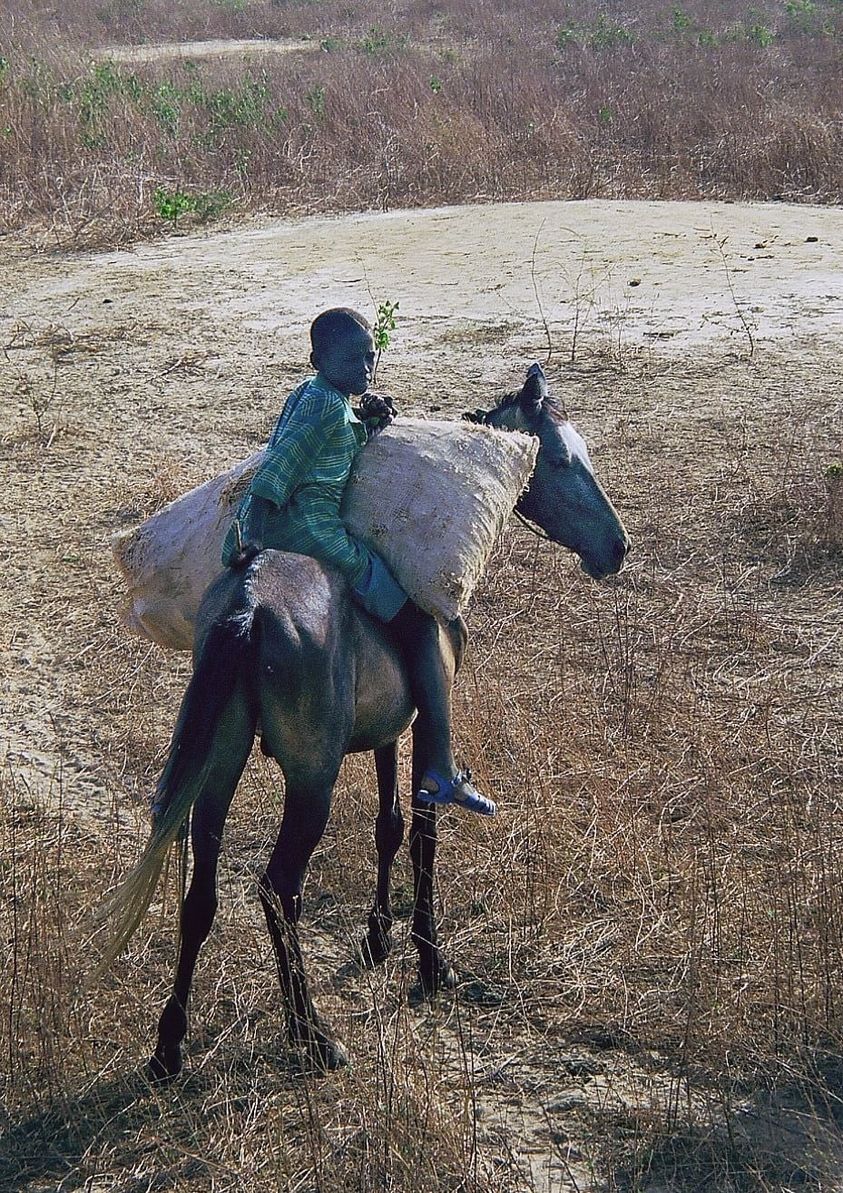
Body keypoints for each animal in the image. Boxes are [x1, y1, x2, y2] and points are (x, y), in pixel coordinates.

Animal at [100, 357, 624, 1078]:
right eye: (567, 460)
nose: (616, 547)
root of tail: (246, 607)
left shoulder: (385, 729)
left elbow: (388, 826)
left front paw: (378, 939)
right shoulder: (425, 720)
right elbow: (425, 828)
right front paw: (430, 962)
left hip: (221, 761)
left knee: (201, 892)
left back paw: (169, 1046)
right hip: (311, 777)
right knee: (276, 887)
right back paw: (312, 1033)